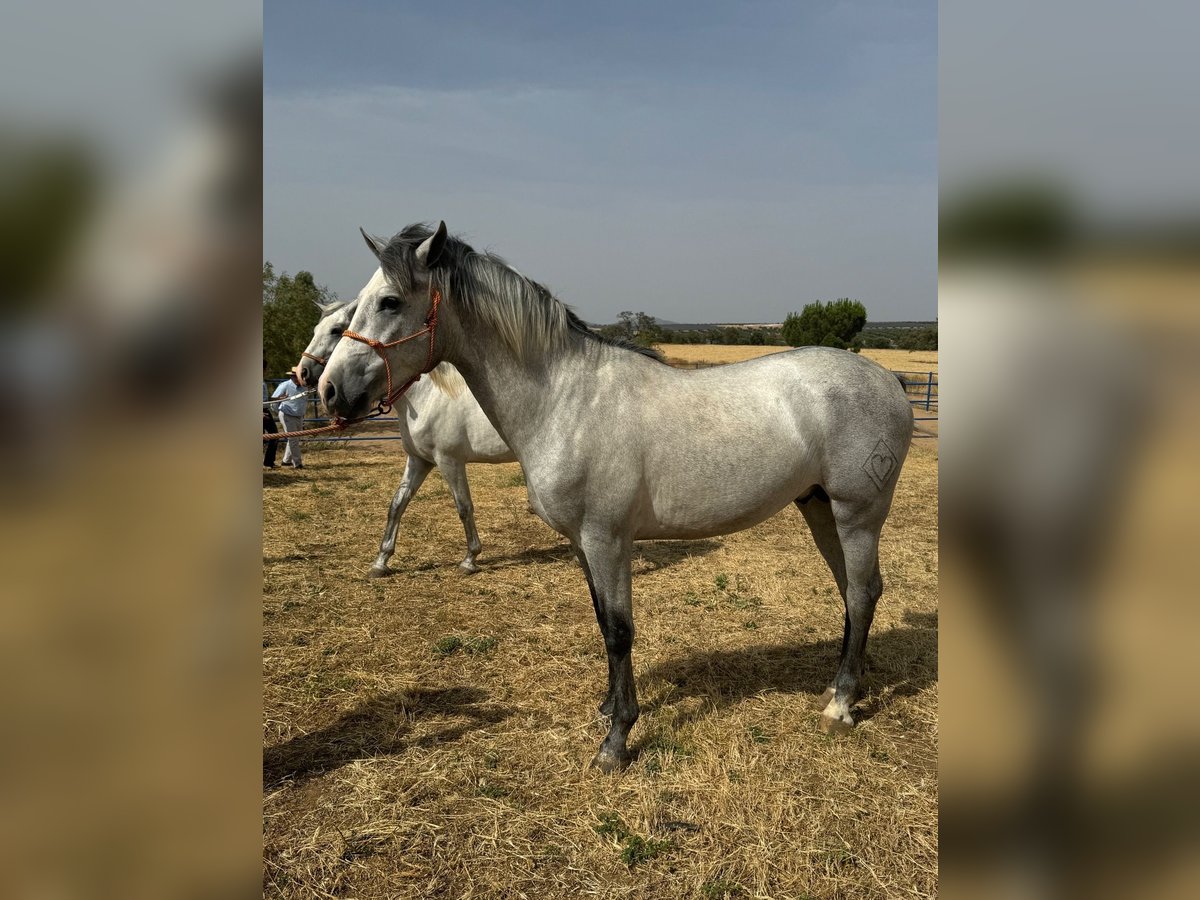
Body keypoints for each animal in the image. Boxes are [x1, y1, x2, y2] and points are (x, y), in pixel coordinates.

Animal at [297, 271, 518, 573]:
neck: (428, 397)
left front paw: (470, 559)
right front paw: (381, 561)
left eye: (337, 330)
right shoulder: (419, 460)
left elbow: (464, 506)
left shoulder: (449, 461)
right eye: (316, 329)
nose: (303, 373)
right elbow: (397, 504)